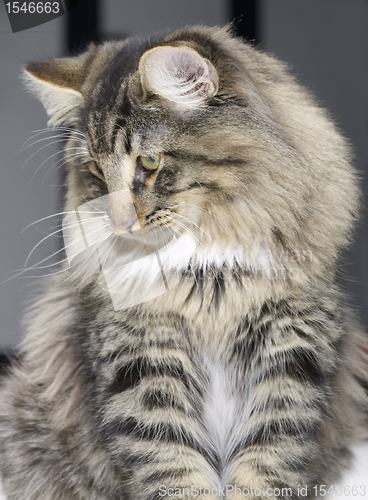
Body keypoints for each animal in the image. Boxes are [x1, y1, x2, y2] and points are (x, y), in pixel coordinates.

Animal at [0, 26, 368, 500]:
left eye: (149, 161)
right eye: (96, 171)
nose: (120, 222)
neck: (210, 276)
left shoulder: (292, 354)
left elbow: (264, 467)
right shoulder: (140, 363)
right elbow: (173, 469)